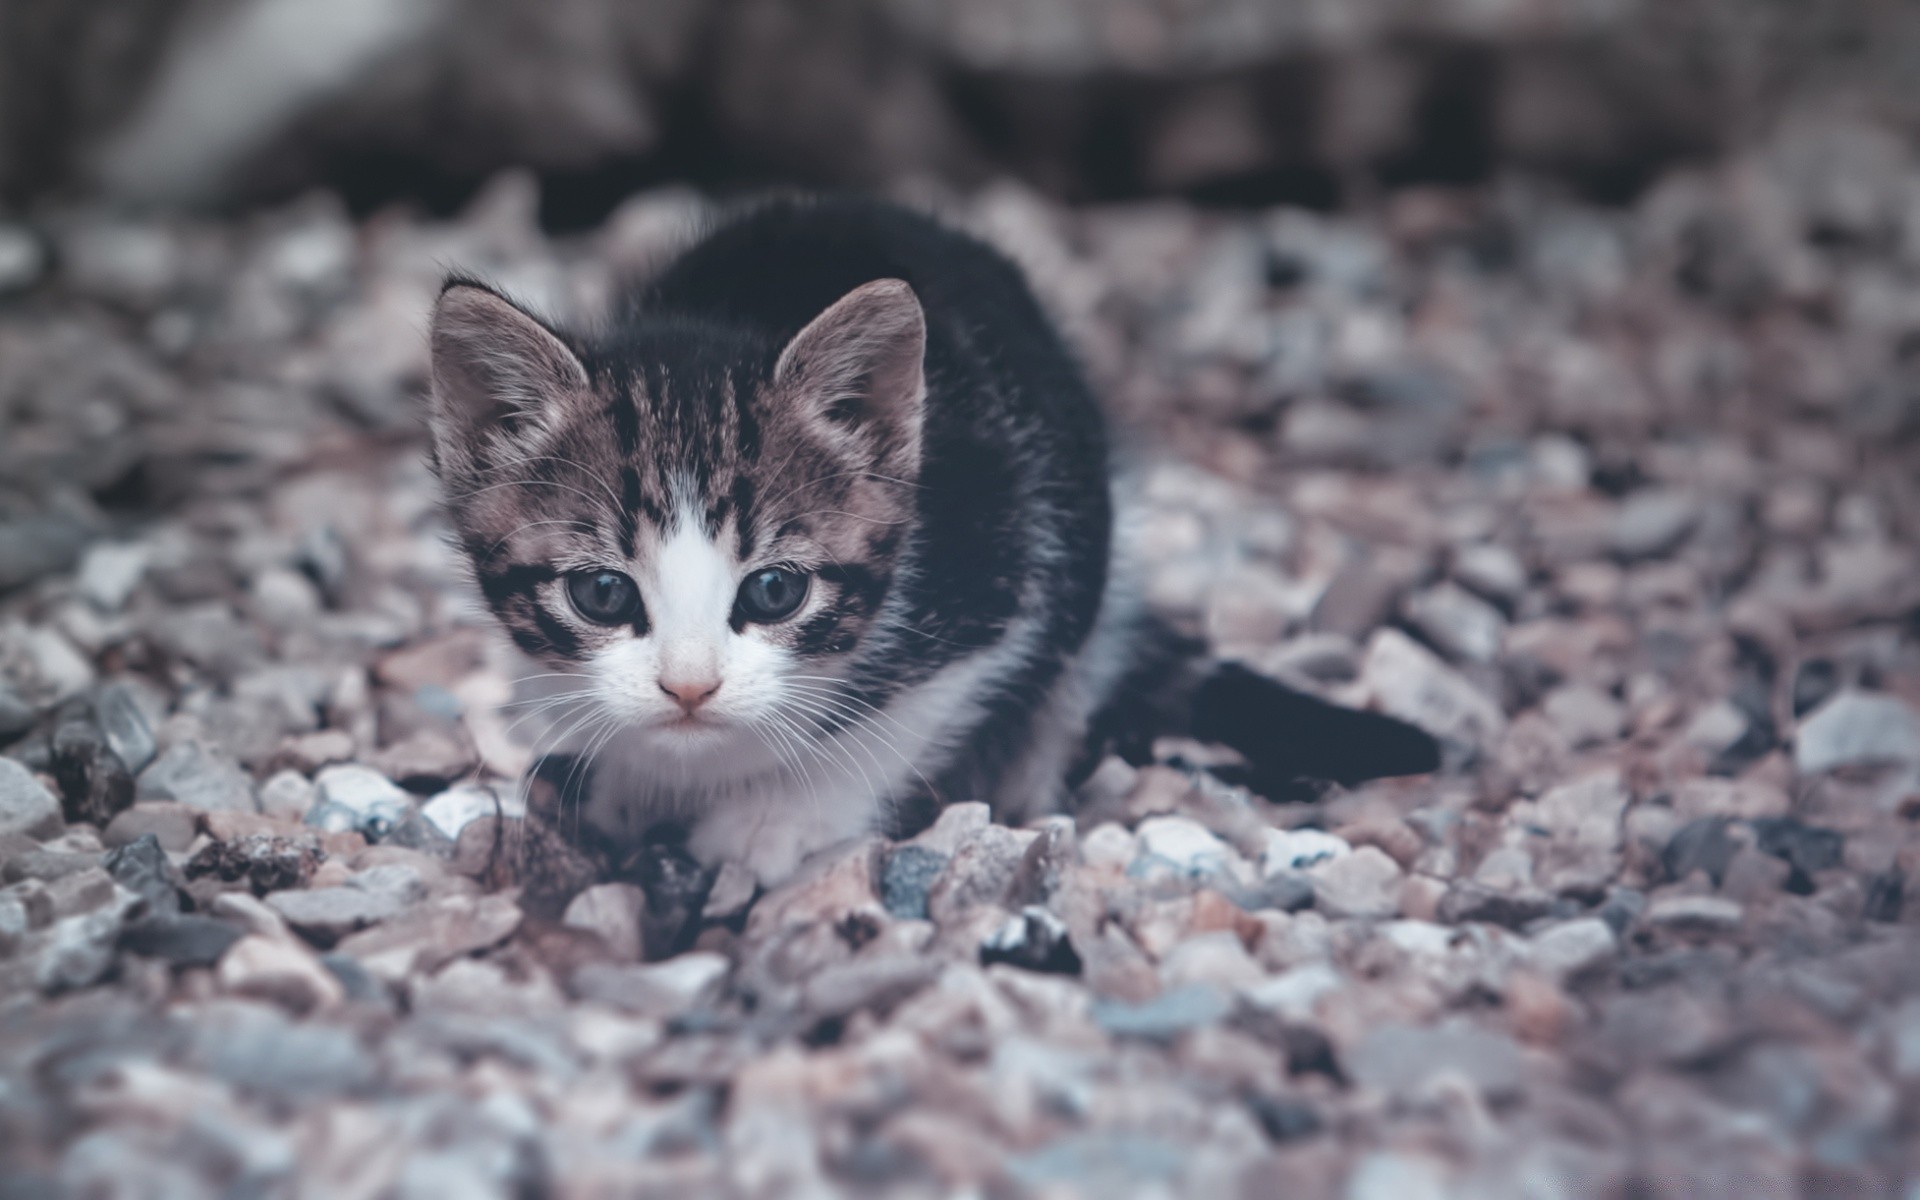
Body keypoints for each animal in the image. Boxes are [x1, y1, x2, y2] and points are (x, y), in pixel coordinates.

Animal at [428, 196, 1436, 883]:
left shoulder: (999, 571)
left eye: (774, 591)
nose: (688, 688)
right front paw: (628, 780)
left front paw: (774, 823)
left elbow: (904, 720)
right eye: (601, 593)